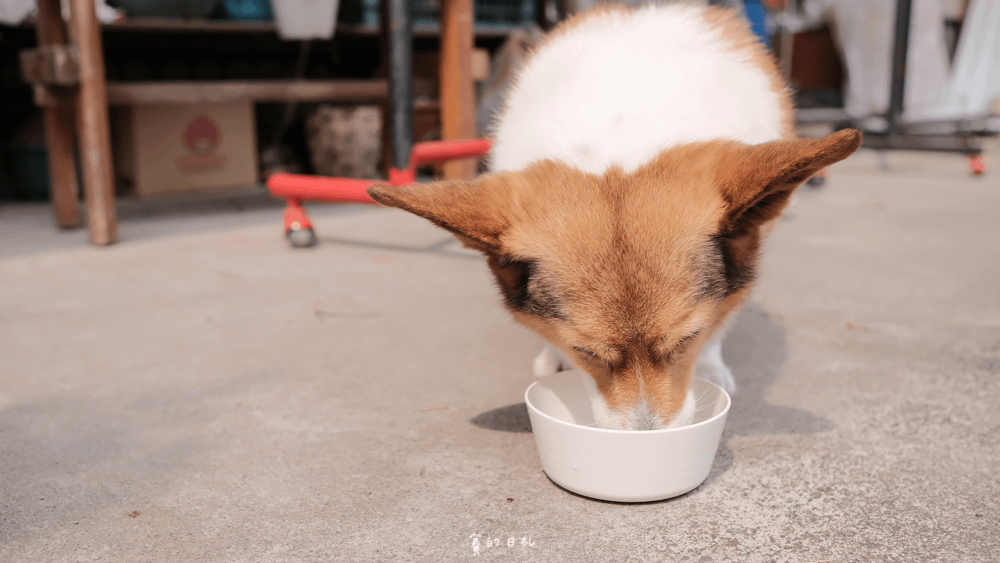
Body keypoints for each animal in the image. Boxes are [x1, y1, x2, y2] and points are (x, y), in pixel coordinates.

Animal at [368, 3, 860, 432]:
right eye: (587, 352)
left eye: (686, 340)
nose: (646, 437)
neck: (619, 139)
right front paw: (552, 357)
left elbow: (723, 315)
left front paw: (711, 365)